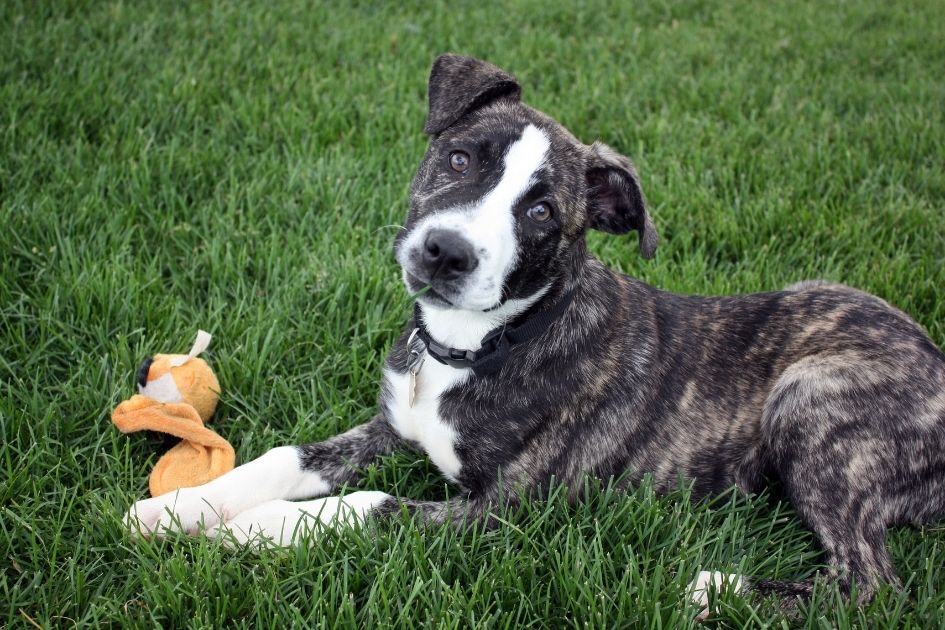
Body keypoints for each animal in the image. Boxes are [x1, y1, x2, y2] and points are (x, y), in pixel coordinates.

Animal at [125, 54, 944, 612]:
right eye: (458, 158)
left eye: (542, 212)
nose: (444, 253)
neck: (475, 346)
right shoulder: (392, 428)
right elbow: (284, 456)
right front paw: (179, 509)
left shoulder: (503, 514)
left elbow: (362, 507)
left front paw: (247, 530)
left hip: (811, 401)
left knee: (873, 584)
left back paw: (718, 588)